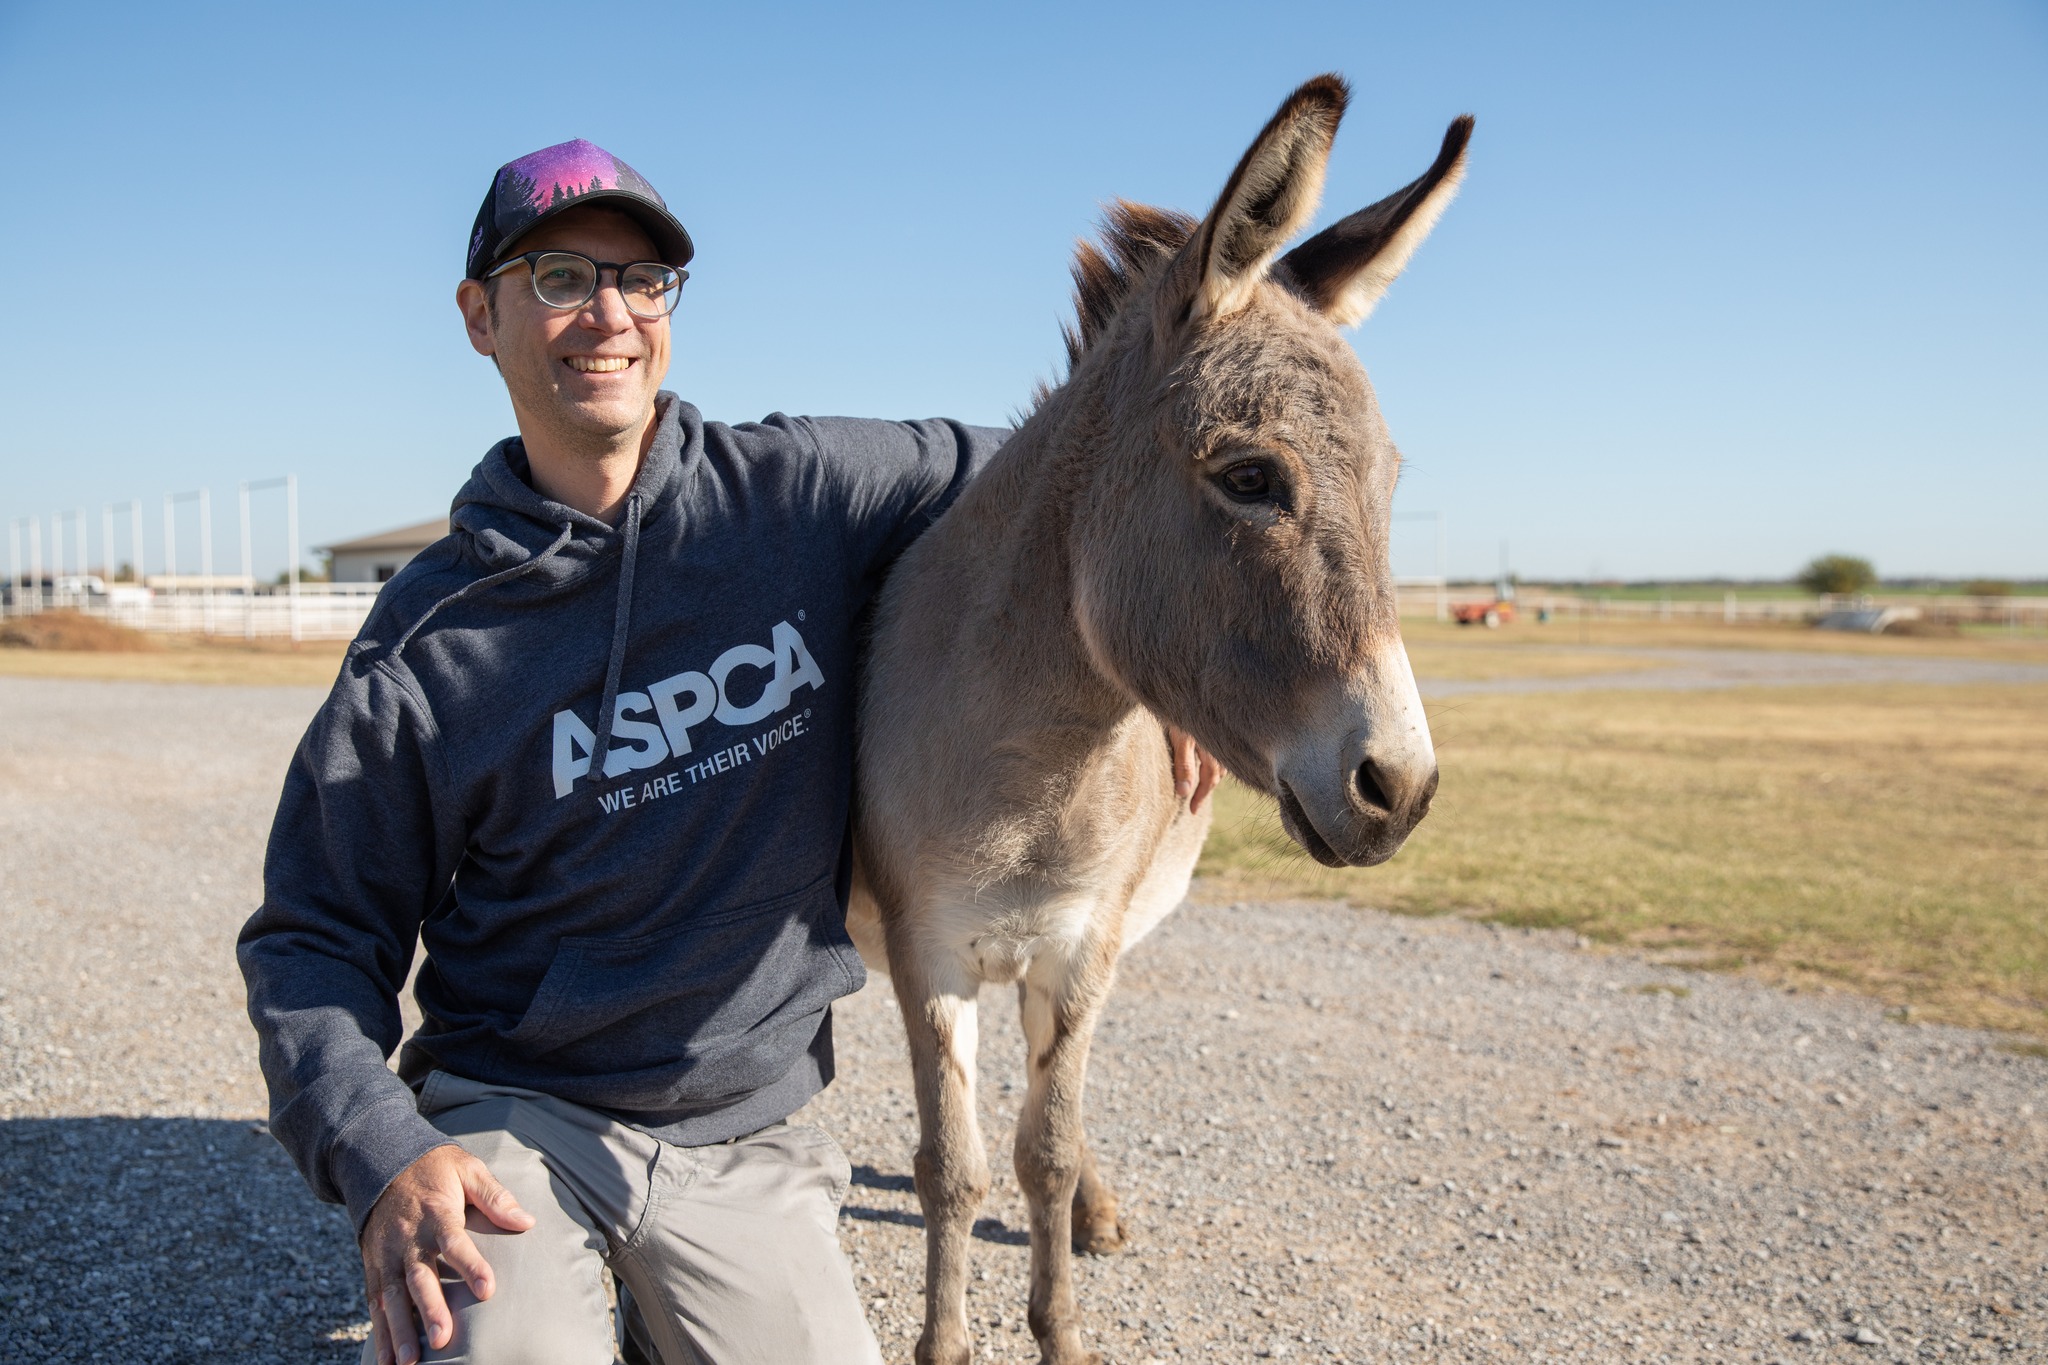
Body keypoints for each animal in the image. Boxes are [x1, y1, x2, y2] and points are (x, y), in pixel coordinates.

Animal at [848, 74, 1471, 1365]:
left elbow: (1034, 1151)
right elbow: (951, 1170)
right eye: (1248, 479)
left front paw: (1061, 1325)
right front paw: (945, 1342)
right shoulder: (928, 952)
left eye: (1389, 483)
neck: (1040, 751)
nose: (1399, 789)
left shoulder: (1079, 946)